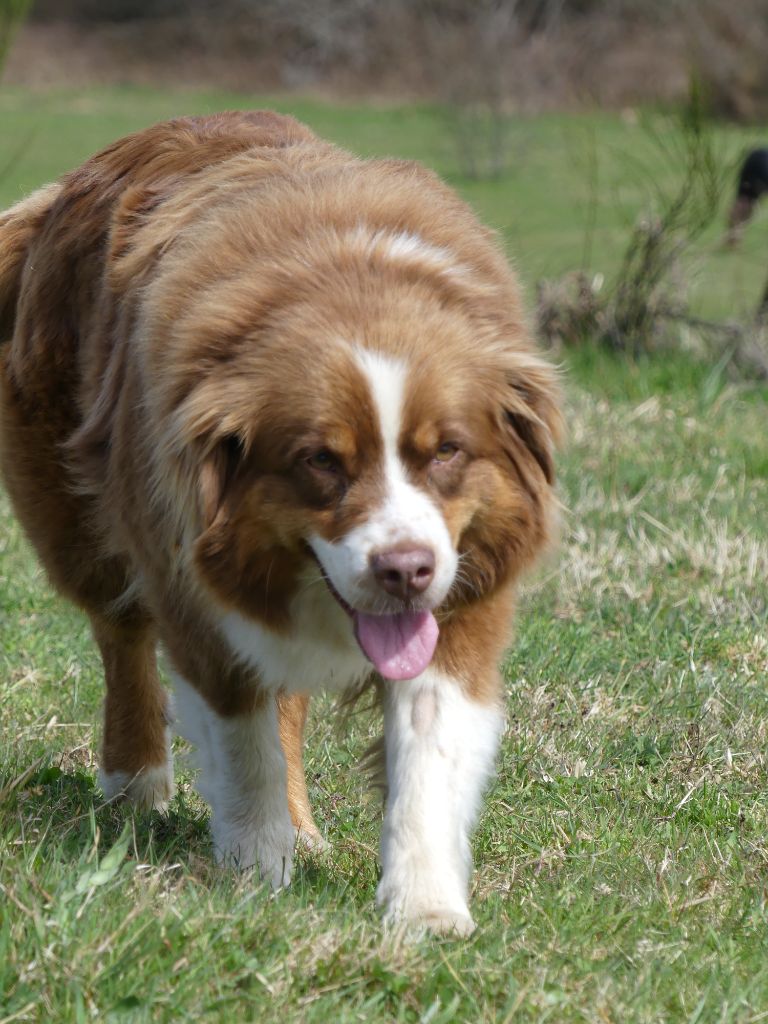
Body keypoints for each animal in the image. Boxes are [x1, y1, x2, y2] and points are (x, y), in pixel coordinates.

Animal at [0, 111, 561, 934]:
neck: (351, 286)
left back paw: (304, 826)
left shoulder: (467, 592)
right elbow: (242, 742)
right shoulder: (193, 582)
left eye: (447, 451)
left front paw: (425, 909)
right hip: (73, 514)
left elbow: (428, 750)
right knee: (120, 632)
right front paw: (256, 874)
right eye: (321, 460)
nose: (405, 571)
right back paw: (136, 782)